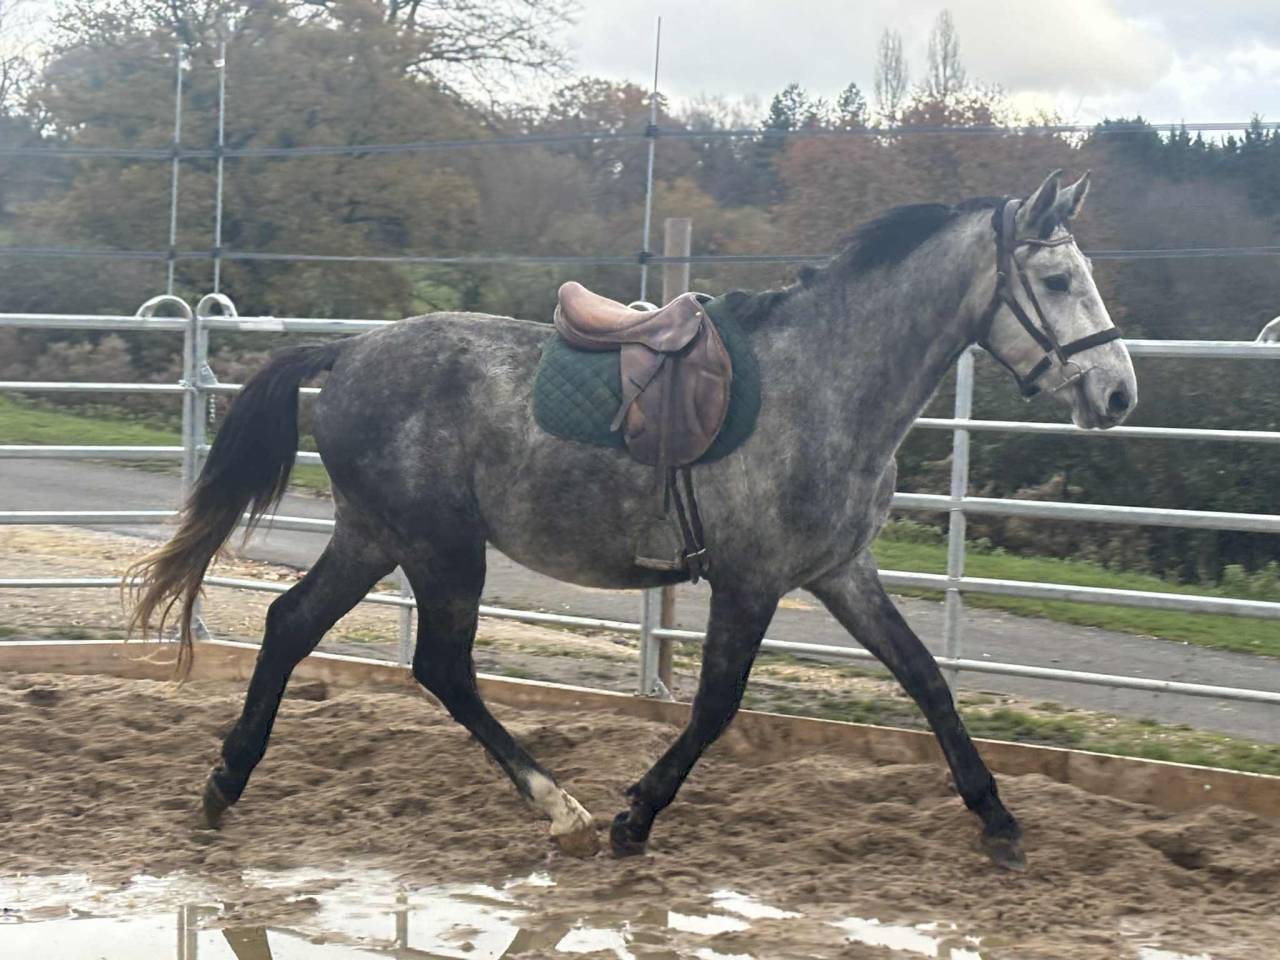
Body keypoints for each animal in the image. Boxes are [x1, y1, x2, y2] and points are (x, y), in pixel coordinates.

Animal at [129, 170, 1136, 871]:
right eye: (1055, 278)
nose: (1118, 393)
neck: (826, 383)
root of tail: (350, 352)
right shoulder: (751, 582)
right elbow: (717, 706)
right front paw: (632, 817)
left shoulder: (838, 573)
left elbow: (928, 681)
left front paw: (999, 822)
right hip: (440, 550)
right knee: (440, 668)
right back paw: (564, 813)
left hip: (376, 538)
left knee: (291, 625)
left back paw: (225, 784)